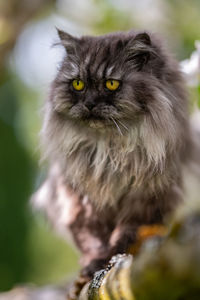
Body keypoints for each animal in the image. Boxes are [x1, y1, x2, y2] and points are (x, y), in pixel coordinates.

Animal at [34, 29, 200, 288]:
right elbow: (91, 239)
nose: (89, 103)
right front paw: (93, 264)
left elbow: (126, 233)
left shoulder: (147, 199)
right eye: (78, 84)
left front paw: (111, 257)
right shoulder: (76, 201)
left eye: (111, 84)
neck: (109, 150)